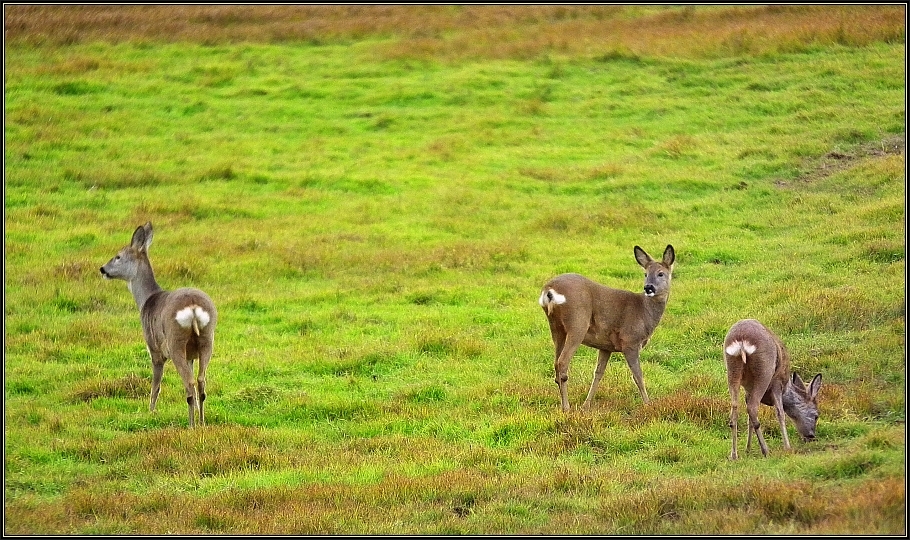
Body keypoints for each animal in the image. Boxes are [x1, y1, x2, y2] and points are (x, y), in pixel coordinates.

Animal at [100, 221, 219, 428]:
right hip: (207, 339)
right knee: (201, 381)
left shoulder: (154, 349)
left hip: (175, 341)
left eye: (118, 256)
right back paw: (201, 421)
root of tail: (193, 307)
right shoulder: (191, 355)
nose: (102, 269)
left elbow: (156, 385)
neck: (146, 300)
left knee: (189, 384)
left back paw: (191, 425)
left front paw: (150, 411)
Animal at [540, 243, 676, 412]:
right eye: (645, 273)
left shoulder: (605, 346)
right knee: (562, 363)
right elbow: (638, 375)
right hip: (577, 323)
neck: (644, 312)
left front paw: (586, 405)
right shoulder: (630, 340)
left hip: (556, 327)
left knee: (556, 363)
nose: (648, 287)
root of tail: (549, 289)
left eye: (661, 273)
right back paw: (566, 408)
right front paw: (648, 404)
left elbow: (598, 373)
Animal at [728, 318, 828, 462]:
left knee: (735, 409)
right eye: (816, 415)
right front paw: (787, 447)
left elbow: (749, 420)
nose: (811, 436)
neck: (787, 388)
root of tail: (741, 341)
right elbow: (780, 413)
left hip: (732, 370)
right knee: (752, 407)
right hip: (764, 371)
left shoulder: (748, 390)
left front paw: (748, 449)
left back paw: (734, 455)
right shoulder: (777, 383)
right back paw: (765, 450)